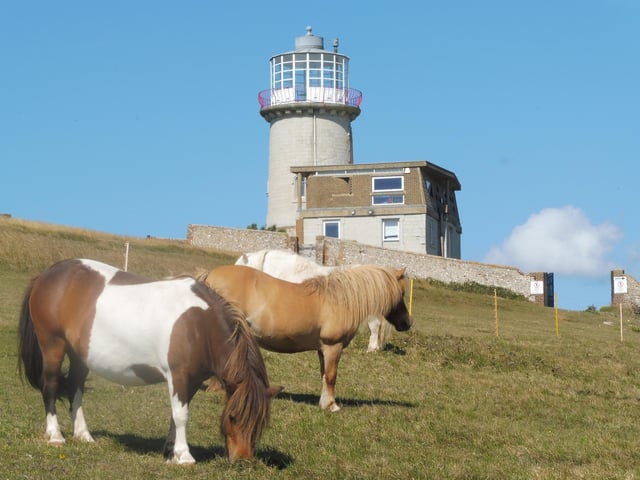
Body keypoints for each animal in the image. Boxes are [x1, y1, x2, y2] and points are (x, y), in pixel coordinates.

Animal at [17, 259, 282, 464]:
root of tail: (47, 274)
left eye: (260, 423)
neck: (199, 324)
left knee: (75, 387)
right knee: (50, 386)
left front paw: (170, 452)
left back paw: (83, 434)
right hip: (53, 346)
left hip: (79, 356)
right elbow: (181, 415)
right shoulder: (178, 375)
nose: (243, 460)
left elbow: (176, 415)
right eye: (233, 417)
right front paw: (184, 456)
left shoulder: (193, 380)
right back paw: (55, 436)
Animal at [198, 264, 412, 412]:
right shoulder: (333, 346)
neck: (341, 300)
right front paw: (332, 406)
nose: (406, 323)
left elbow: (324, 375)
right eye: (400, 293)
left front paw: (324, 402)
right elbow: (331, 376)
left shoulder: (322, 350)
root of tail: (210, 276)